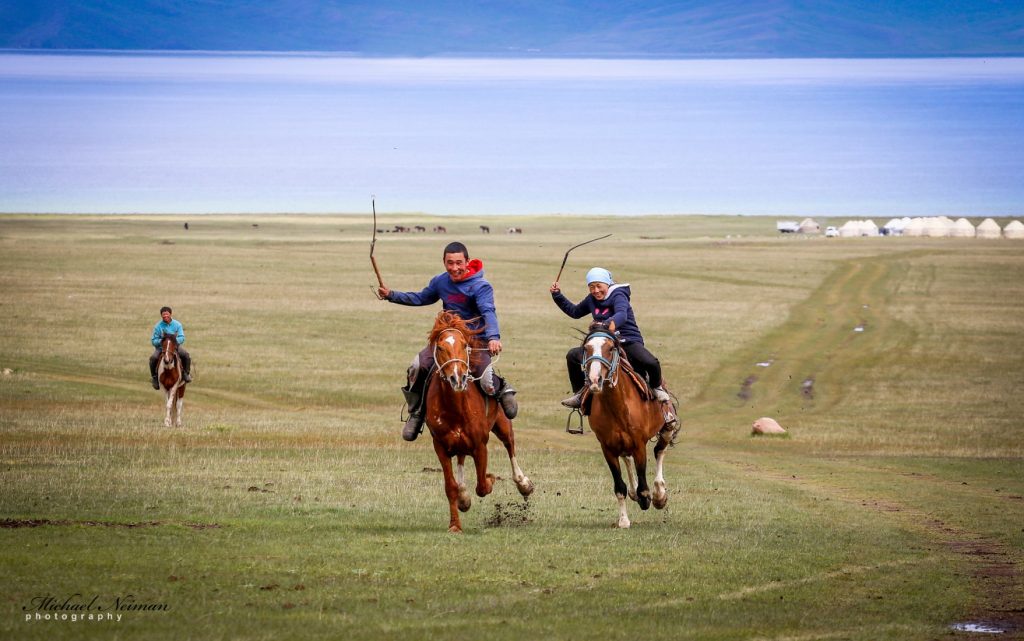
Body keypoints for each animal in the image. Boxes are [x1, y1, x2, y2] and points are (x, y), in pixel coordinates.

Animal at [423, 309, 536, 528]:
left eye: (464, 345)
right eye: (440, 347)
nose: (457, 378)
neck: (455, 409)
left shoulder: (480, 446)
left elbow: (483, 485)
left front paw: (491, 479)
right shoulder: (440, 446)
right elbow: (450, 487)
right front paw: (455, 524)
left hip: (502, 425)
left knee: (510, 446)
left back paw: (523, 483)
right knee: (460, 460)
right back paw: (463, 494)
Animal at [581, 321, 684, 528]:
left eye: (610, 348)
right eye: (586, 348)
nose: (595, 380)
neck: (616, 406)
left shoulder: (638, 444)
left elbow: (644, 485)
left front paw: (649, 498)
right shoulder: (607, 447)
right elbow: (619, 486)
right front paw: (623, 520)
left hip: (667, 427)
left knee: (659, 451)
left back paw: (660, 495)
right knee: (627, 459)